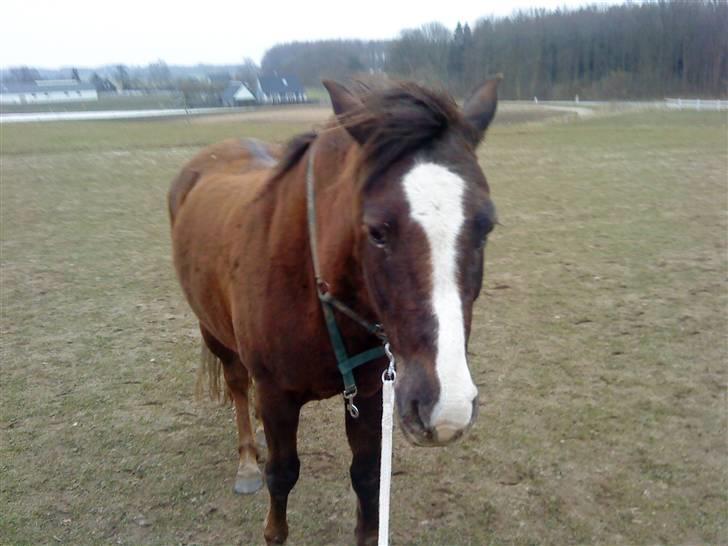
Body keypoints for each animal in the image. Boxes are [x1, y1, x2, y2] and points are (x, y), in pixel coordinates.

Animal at [169, 77, 500, 544]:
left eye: (486, 227)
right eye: (376, 231)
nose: (446, 408)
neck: (314, 283)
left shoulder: (371, 392)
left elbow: (366, 478)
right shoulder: (276, 394)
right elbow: (282, 476)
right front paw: (273, 525)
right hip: (213, 332)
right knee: (237, 385)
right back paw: (248, 460)